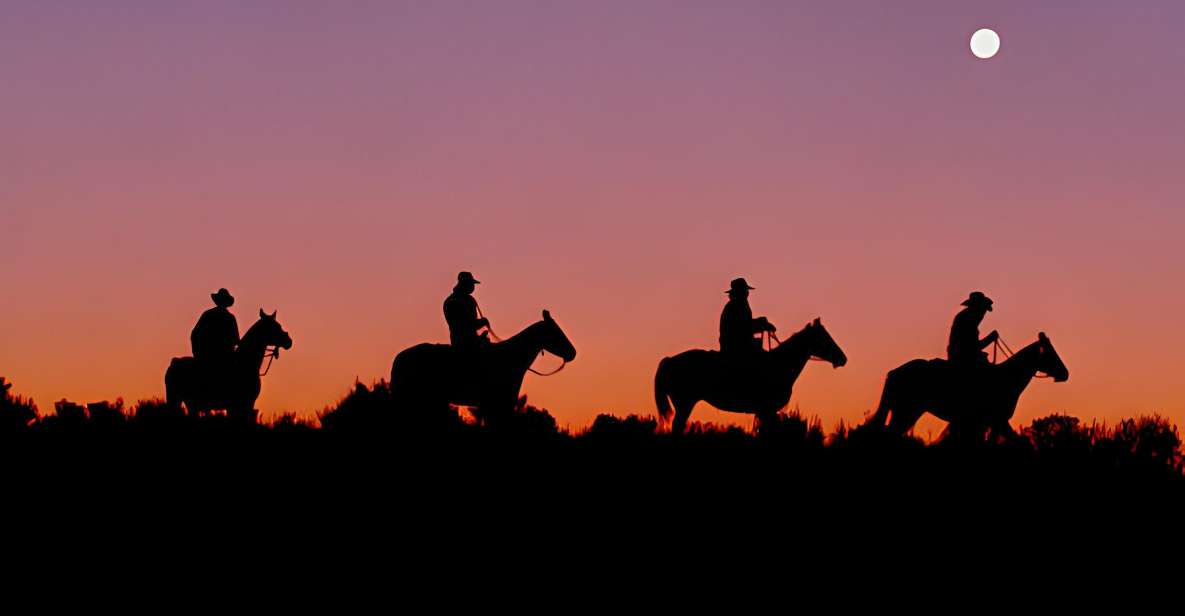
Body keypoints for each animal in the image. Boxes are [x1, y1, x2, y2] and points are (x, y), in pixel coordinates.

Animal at [654, 319, 848, 435]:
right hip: (685, 403)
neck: (780, 364)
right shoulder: (768, 409)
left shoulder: (763, 412)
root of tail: (669, 360)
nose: (843, 358)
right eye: (824, 337)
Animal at [867, 331, 1071, 438]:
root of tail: (894, 372)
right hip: (906, 411)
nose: (1065, 373)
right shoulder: (997, 421)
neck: (1006, 378)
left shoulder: (988, 423)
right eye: (1050, 352)